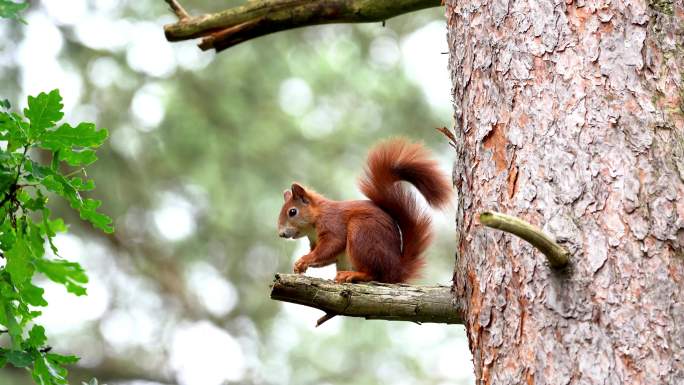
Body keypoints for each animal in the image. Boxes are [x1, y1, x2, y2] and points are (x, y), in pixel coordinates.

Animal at [276, 138, 452, 282]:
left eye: (292, 212)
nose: (281, 234)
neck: (316, 219)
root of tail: (396, 270)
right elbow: (327, 257)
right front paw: (300, 265)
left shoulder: (332, 223)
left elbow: (332, 244)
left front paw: (304, 259)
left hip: (362, 233)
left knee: (373, 274)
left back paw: (354, 275)